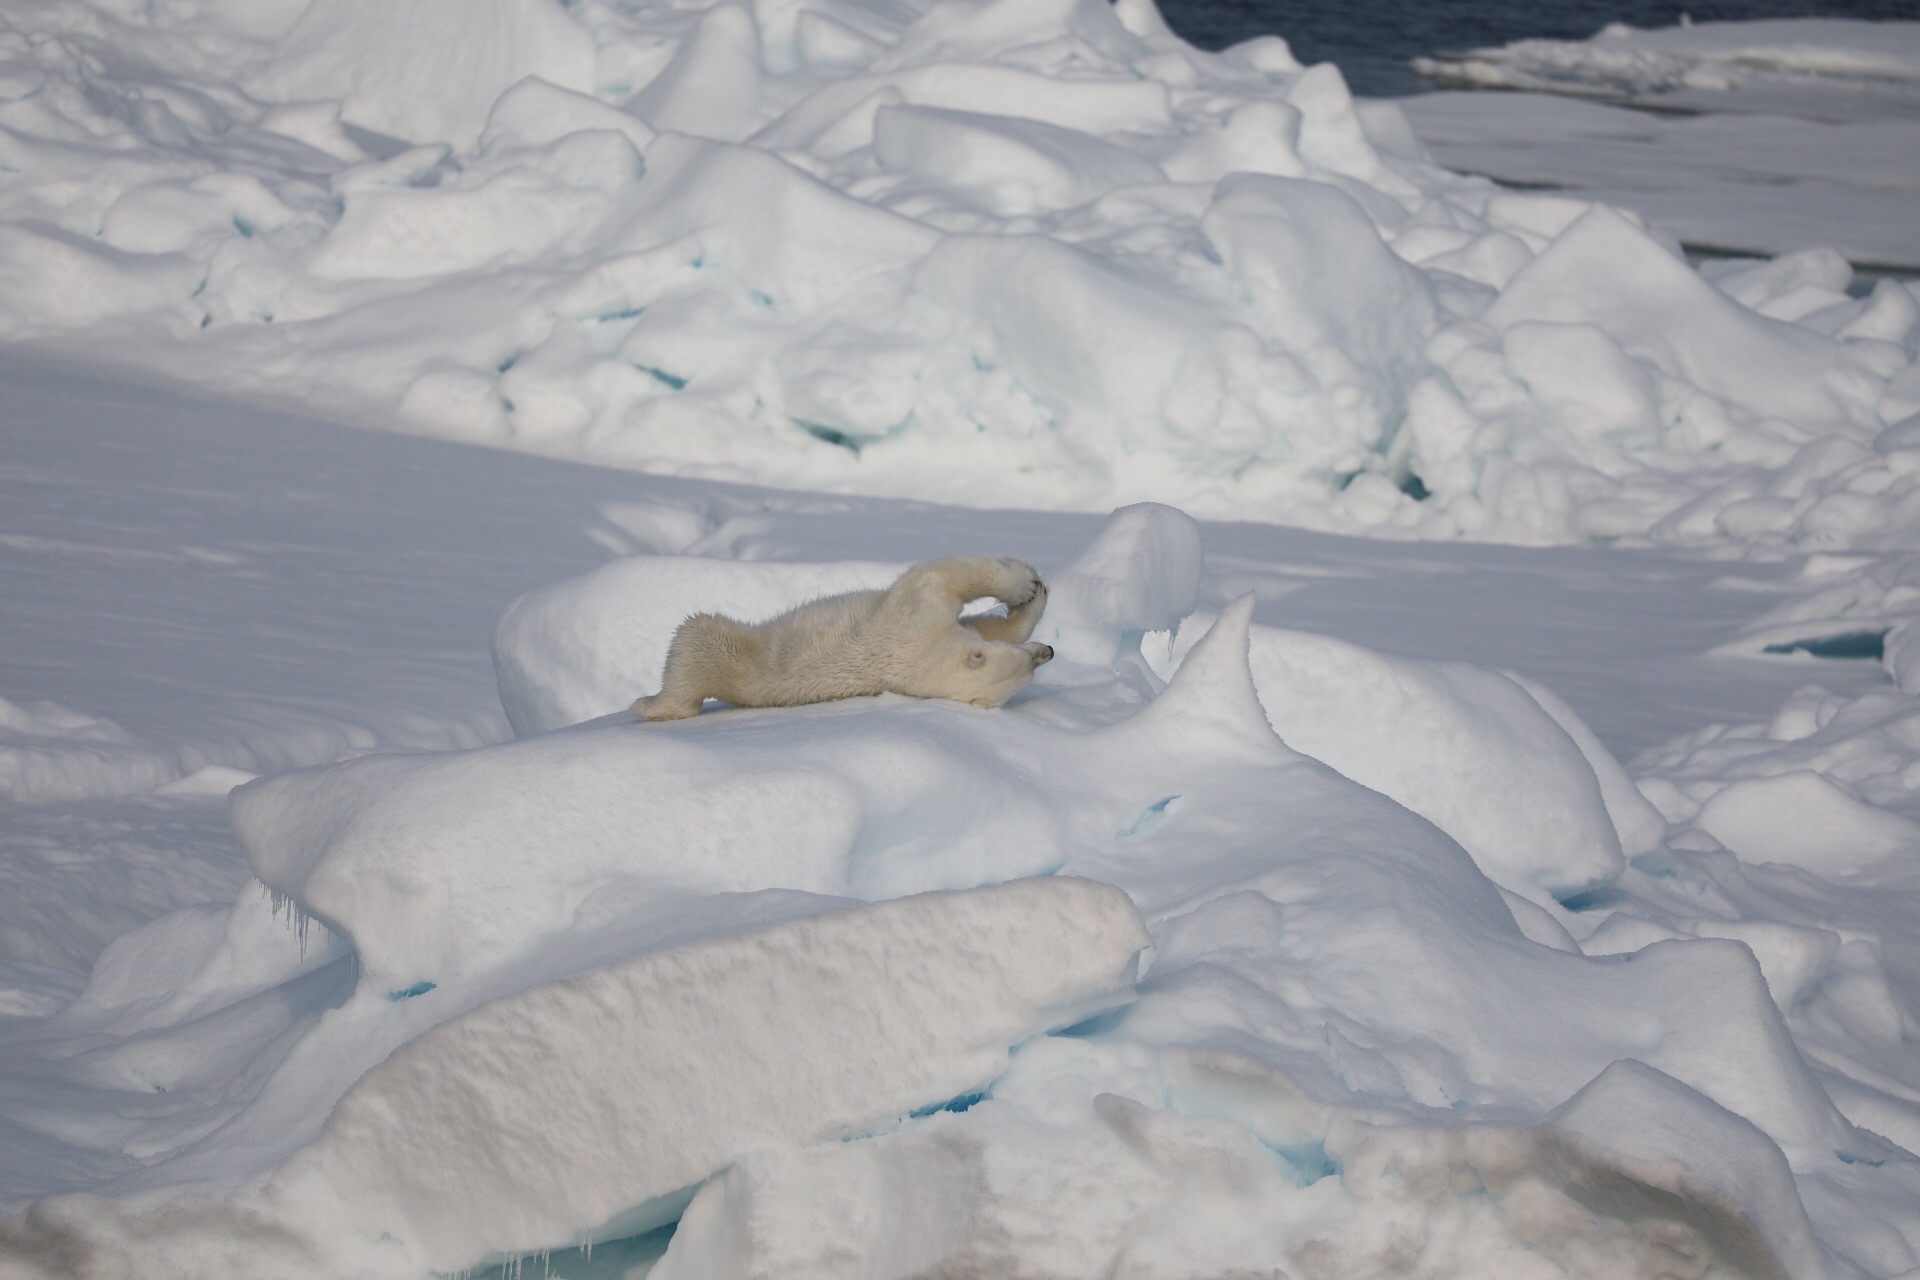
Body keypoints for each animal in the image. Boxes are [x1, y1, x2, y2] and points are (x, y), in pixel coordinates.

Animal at [629, 556, 1052, 725]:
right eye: (1028, 661)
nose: (1048, 651)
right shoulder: (914, 622)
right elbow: (945, 579)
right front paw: (1030, 586)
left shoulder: (916, 633)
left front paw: (1031, 590)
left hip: (735, 655)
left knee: (694, 640)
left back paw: (650, 703)